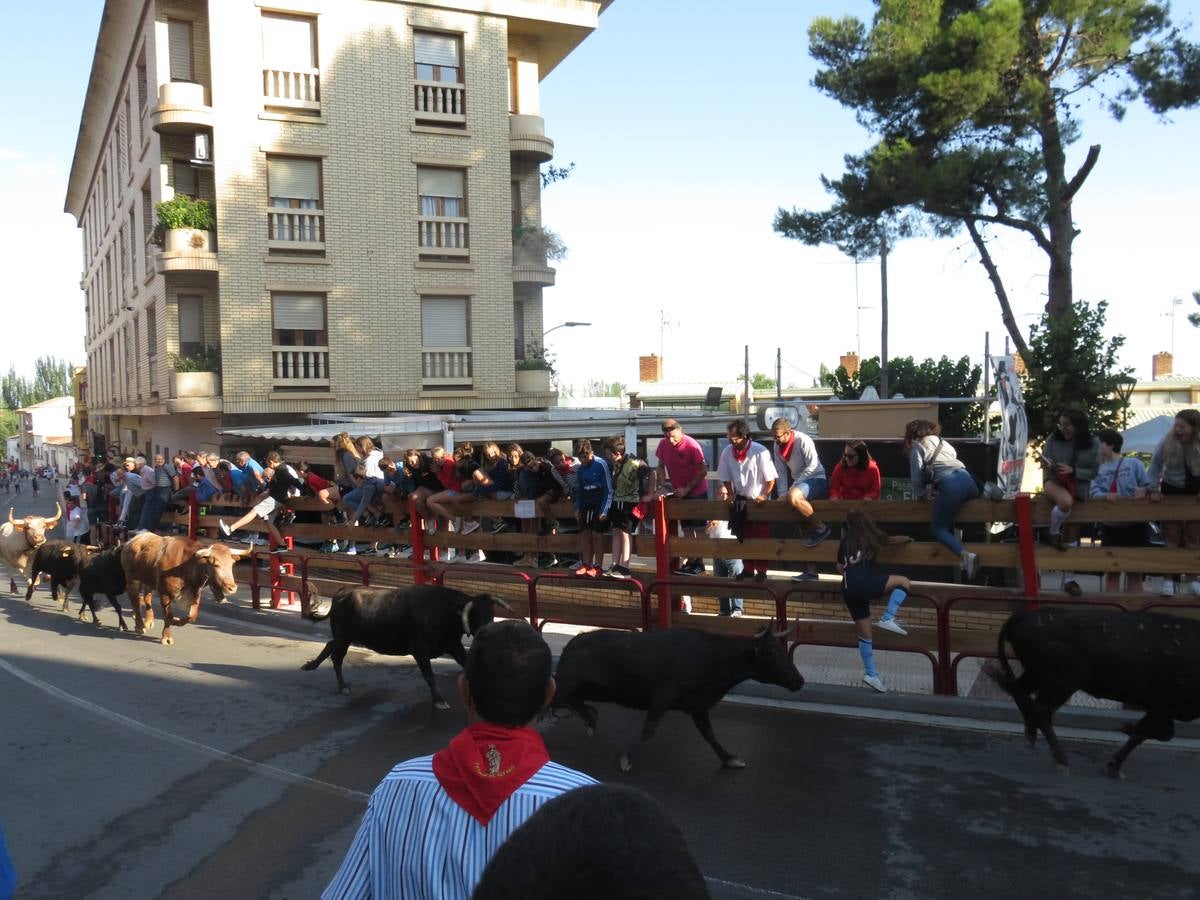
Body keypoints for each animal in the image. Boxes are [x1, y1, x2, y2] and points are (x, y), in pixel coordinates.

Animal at [120, 532, 249, 643]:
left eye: (232, 564)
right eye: (216, 564)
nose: (232, 588)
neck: (187, 566)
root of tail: (132, 540)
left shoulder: (195, 594)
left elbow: (192, 616)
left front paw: (177, 621)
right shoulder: (165, 593)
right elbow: (168, 616)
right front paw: (167, 637)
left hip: (148, 581)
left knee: (146, 598)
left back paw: (147, 621)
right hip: (133, 578)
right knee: (135, 599)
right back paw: (139, 625)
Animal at [984, 609, 1200, 777]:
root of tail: (1026, 615)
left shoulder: (1161, 709)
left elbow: (1153, 733)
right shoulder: (1163, 707)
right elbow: (1153, 733)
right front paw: (1117, 753)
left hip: (1037, 676)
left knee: (1018, 692)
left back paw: (1031, 735)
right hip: (1060, 684)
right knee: (1040, 711)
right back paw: (1062, 761)